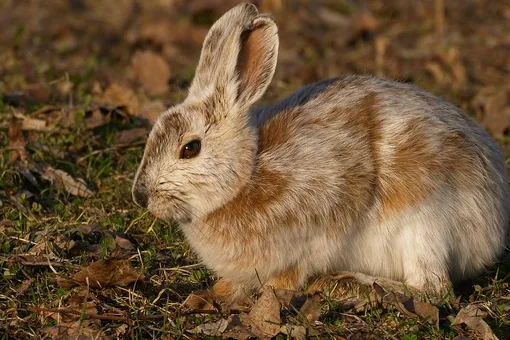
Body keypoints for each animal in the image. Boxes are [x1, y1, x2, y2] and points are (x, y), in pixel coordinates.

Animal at [130, 3, 506, 302]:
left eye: (190, 148)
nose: (140, 196)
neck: (247, 175)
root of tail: (496, 221)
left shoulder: (326, 206)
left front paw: (277, 288)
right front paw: (222, 290)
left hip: (422, 224)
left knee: (431, 288)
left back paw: (344, 283)